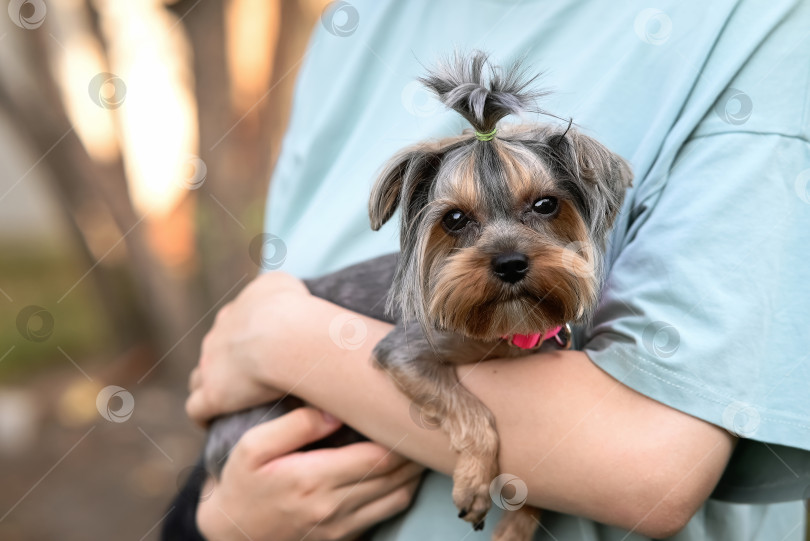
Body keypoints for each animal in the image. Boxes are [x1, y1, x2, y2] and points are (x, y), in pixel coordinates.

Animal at [163, 51, 632, 540]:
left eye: (545, 204)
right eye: (455, 219)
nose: (509, 263)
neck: (506, 332)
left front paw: (516, 526)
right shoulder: (405, 353)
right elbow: (471, 409)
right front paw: (474, 481)